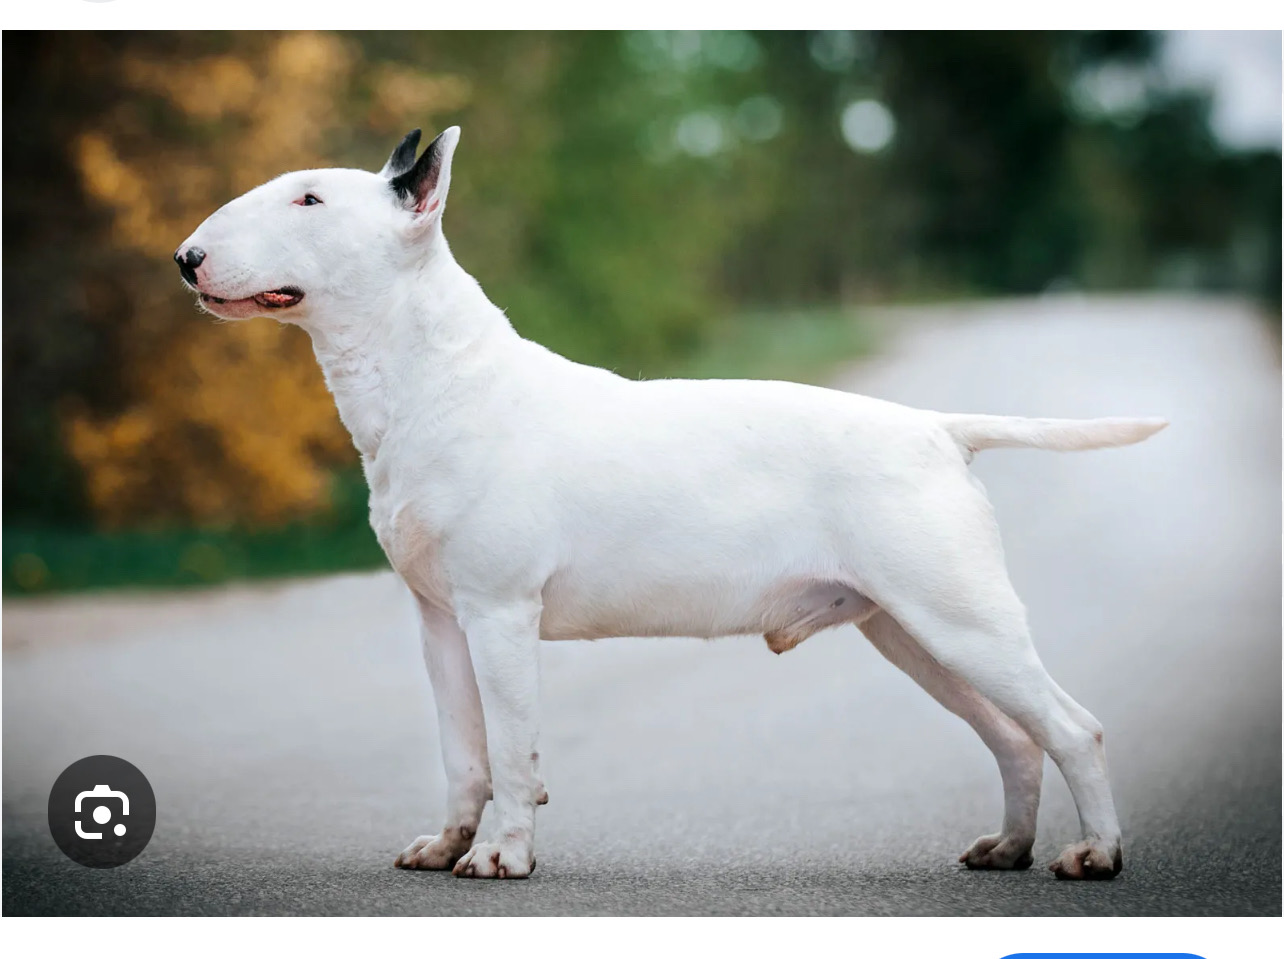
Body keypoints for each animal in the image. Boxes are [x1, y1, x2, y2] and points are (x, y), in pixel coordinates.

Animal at [175, 127, 1171, 883]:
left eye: (309, 200)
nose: (185, 260)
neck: (433, 377)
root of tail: (936, 429)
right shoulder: (441, 621)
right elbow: (465, 751)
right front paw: (447, 843)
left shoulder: (501, 613)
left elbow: (512, 749)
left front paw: (501, 855)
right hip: (911, 631)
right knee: (1013, 737)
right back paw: (1007, 845)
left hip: (960, 620)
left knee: (1071, 727)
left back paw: (1096, 854)